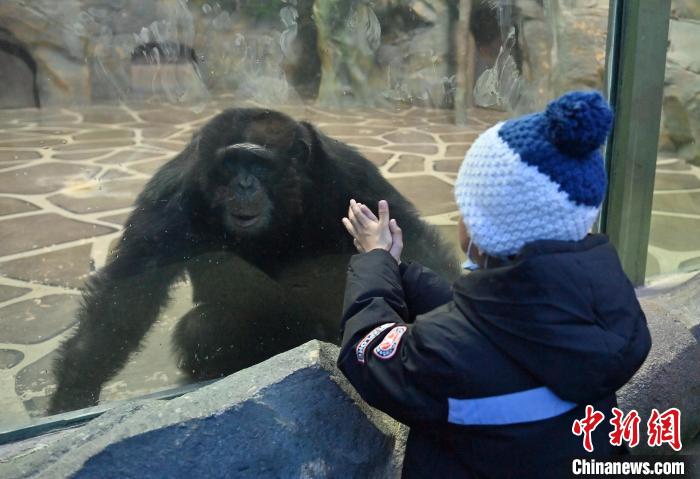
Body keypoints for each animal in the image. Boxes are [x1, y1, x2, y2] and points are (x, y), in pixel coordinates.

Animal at [47, 108, 460, 412]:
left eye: (260, 165)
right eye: (231, 164)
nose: (245, 184)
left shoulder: (351, 174)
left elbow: (414, 242)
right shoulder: (171, 192)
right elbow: (128, 295)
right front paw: (73, 394)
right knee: (202, 327)